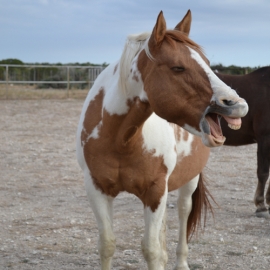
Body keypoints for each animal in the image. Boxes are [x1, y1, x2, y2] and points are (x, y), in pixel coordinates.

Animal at [76, 10, 249, 270]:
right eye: (178, 67)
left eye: (208, 64)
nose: (237, 104)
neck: (120, 139)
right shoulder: (96, 188)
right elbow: (107, 244)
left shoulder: (155, 191)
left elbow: (151, 249)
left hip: (189, 181)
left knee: (183, 212)